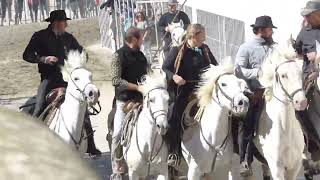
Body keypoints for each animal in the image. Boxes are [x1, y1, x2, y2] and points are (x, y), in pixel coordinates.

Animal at [254, 44, 308, 180]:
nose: (301, 102)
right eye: (283, 75)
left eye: (301, 73)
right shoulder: (277, 169)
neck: (285, 130)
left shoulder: (294, 166)